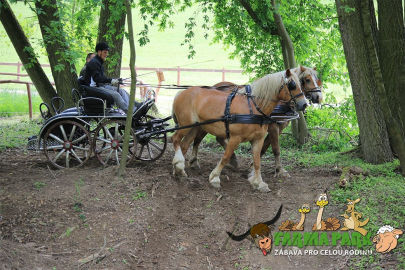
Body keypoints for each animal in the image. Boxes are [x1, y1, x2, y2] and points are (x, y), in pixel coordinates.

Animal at [170, 69, 306, 192]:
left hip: (194, 127)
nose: (304, 104)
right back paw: (179, 164)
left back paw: (179, 170)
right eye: (292, 85)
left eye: (301, 83)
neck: (254, 107)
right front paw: (215, 178)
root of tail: (181, 92)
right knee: (175, 139)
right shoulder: (235, 138)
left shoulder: (258, 139)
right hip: (185, 125)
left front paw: (259, 183)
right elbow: (225, 157)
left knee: (184, 145)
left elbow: (257, 161)